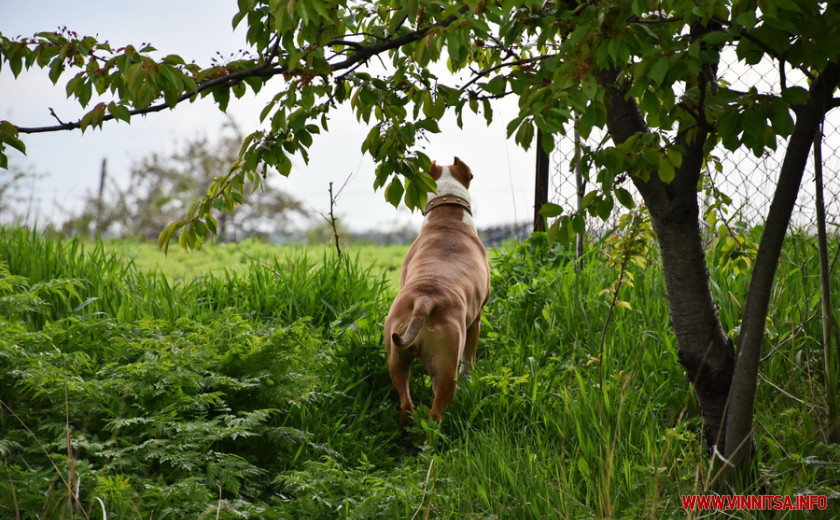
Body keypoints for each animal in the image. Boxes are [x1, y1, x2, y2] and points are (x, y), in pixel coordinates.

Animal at [382, 157, 488, 422]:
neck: (447, 213)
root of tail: (424, 301)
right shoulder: (476, 321)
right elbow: (469, 361)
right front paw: (470, 381)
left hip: (395, 357)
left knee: (406, 402)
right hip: (446, 366)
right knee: (436, 411)